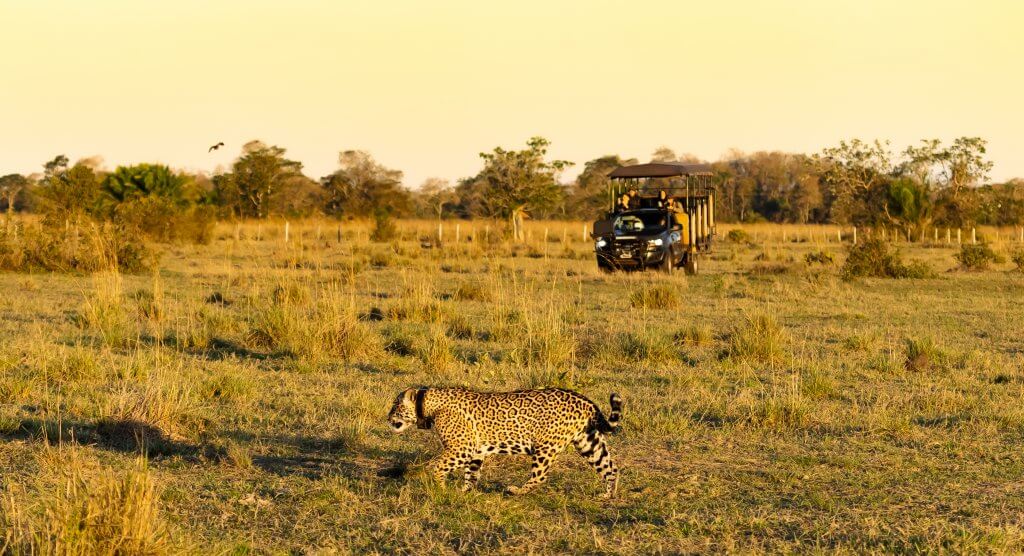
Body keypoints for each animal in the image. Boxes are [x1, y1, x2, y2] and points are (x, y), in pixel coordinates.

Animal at [387, 386, 622, 497]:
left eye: (395, 406)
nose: (387, 418)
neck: (428, 404)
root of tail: (586, 401)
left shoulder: (461, 449)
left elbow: (438, 465)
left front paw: (439, 486)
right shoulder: (475, 451)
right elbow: (471, 474)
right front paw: (464, 492)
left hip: (545, 447)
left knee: (540, 476)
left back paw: (516, 491)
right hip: (588, 442)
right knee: (610, 467)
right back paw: (608, 495)